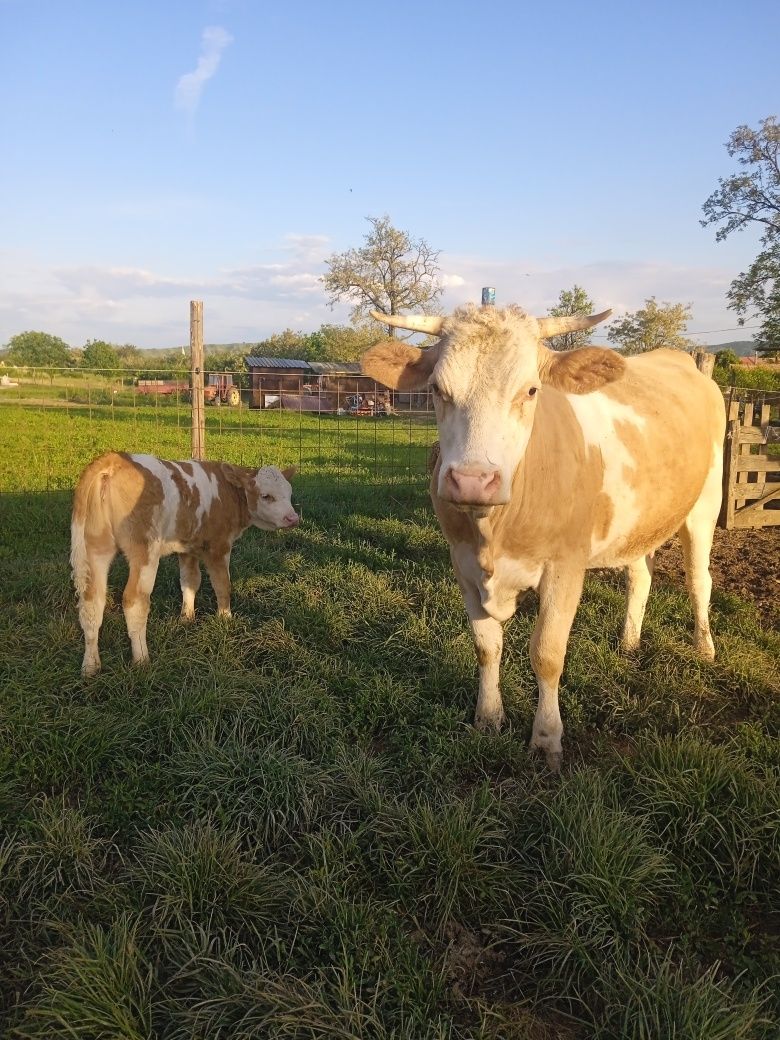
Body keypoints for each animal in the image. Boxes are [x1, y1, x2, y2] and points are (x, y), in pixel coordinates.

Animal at [71, 453, 299, 678]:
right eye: (266, 496)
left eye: (289, 493)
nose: (293, 518)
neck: (227, 493)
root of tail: (111, 461)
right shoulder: (219, 546)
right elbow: (222, 584)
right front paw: (225, 618)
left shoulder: (187, 548)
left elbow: (190, 581)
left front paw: (187, 617)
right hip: (144, 551)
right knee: (134, 600)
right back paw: (142, 659)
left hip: (94, 549)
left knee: (92, 601)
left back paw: (90, 666)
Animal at [364, 303, 732, 769]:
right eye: (437, 390)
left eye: (531, 390)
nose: (471, 481)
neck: (494, 533)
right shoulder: (463, 565)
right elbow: (486, 646)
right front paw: (488, 718)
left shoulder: (565, 567)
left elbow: (547, 654)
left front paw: (546, 738)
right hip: (640, 518)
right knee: (640, 576)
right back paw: (629, 641)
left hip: (705, 504)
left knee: (699, 580)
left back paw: (705, 648)